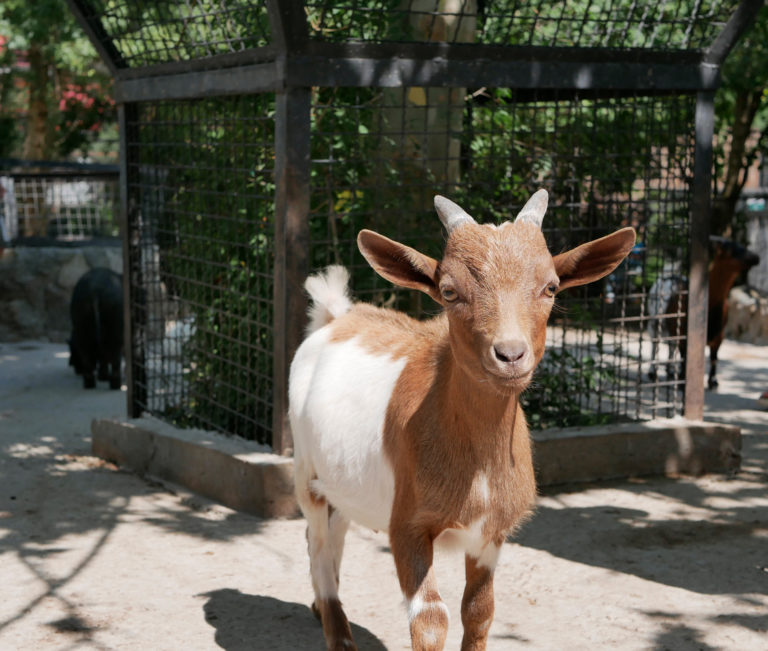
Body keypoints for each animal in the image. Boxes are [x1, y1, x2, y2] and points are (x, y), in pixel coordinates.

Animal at [289, 190, 635, 651]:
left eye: (550, 287)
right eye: (449, 291)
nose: (510, 354)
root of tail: (335, 316)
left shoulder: (492, 532)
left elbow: (479, 611)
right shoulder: (408, 525)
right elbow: (431, 619)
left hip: (343, 477)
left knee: (335, 528)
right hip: (305, 468)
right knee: (316, 538)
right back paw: (339, 632)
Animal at [647, 237, 760, 389]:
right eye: (732, 250)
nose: (756, 257)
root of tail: (668, 275)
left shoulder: (719, 335)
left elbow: (714, 357)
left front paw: (713, 381)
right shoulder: (685, 333)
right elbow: (684, 357)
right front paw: (682, 381)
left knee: (671, 344)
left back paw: (670, 371)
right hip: (655, 319)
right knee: (655, 342)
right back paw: (653, 372)